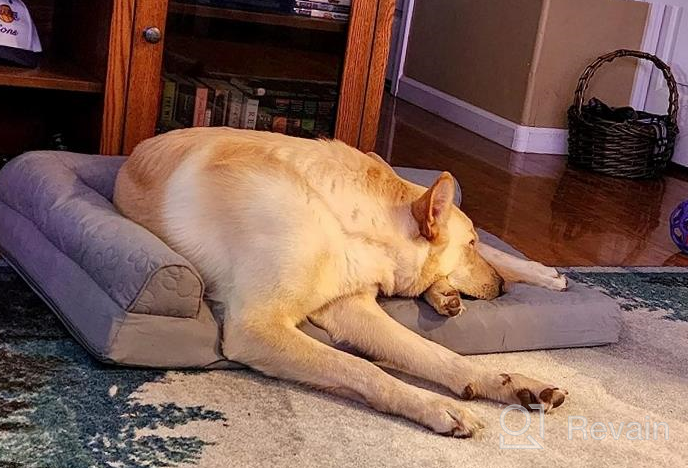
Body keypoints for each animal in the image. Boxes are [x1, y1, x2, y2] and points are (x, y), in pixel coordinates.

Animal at [115, 126, 568, 436]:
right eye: (468, 243)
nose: (504, 290)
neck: (342, 220)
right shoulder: (257, 327)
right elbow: (362, 367)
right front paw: (435, 405)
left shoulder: (351, 306)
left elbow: (437, 355)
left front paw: (510, 383)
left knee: (494, 260)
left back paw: (538, 276)